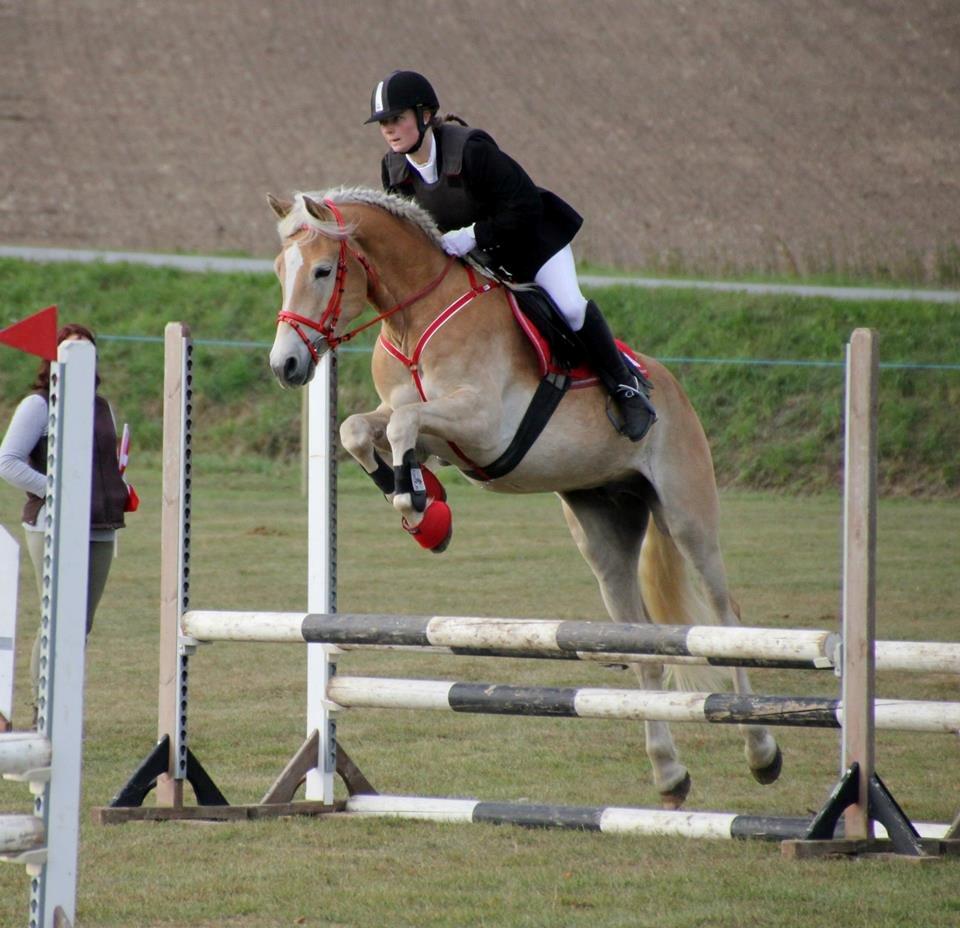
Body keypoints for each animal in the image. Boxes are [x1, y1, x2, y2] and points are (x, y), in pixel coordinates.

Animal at [266, 187, 784, 804]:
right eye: (280, 271)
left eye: (323, 271)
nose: (285, 365)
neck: (414, 322)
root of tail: (674, 387)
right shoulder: (427, 426)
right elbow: (358, 429)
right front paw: (419, 503)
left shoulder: (482, 425)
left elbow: (402, 426)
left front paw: (419, 506)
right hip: (602, 531)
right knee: (642, 648)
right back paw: (670, 775)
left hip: (687, 516)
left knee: (726, 620)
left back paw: (762, 754)